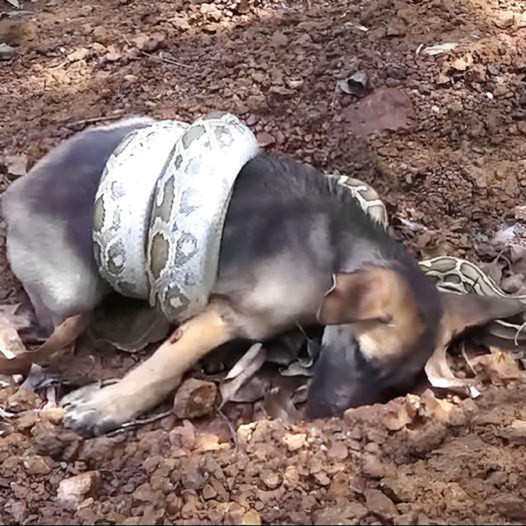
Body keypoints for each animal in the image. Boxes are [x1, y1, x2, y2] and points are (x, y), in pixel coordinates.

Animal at [3, 118, 520, 438]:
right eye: (360, 355)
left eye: (394, 386)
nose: (325, 417)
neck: (333, 253)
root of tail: (14, 193)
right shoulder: (226, 316)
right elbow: (164, 364)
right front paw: (110, 406)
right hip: (71, 293)